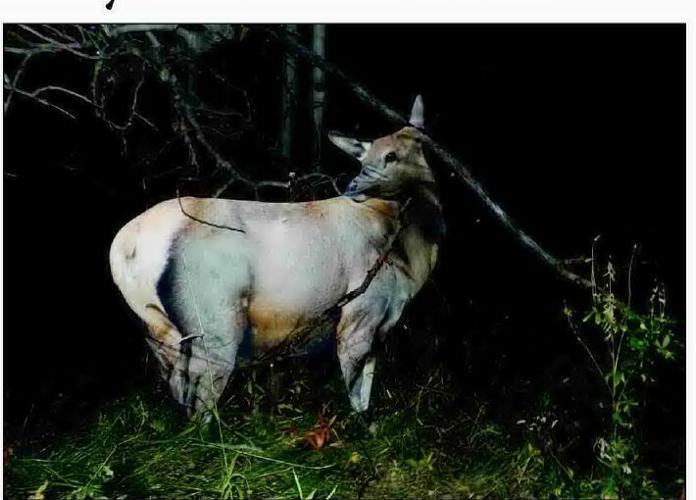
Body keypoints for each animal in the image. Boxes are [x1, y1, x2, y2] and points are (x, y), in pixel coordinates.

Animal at [109, 96, 444, 417]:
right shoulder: (361, 311)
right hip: (213, 321)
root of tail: (124, 249)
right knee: (200, 403)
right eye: (368, 158)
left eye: (397, 154)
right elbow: (358, 401)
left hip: (158, 329)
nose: (354, 186)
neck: (410, 260)